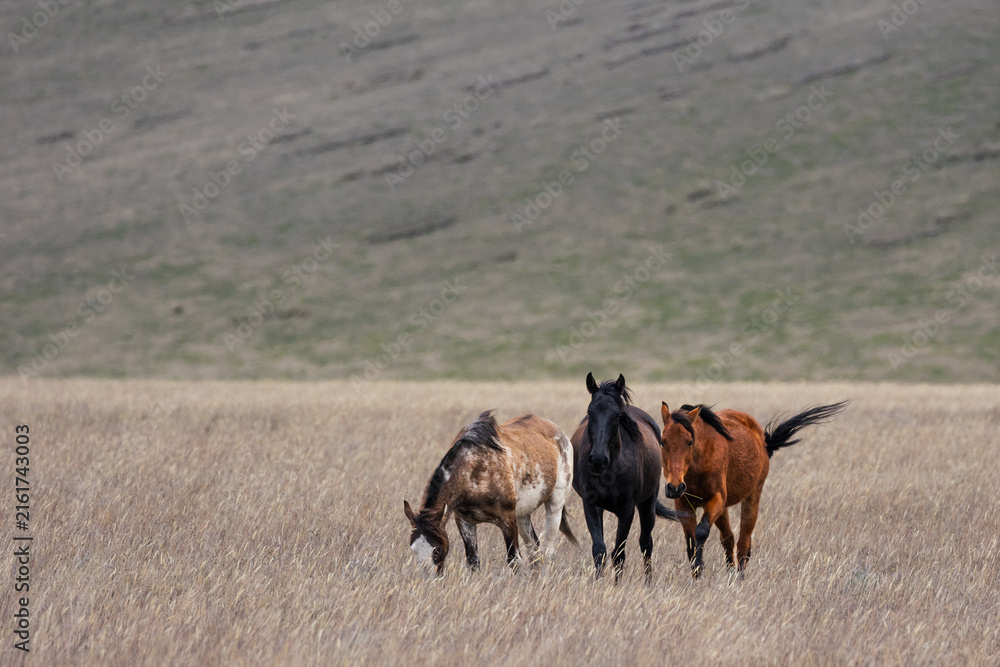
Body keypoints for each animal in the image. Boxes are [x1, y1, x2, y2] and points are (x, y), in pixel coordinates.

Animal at [404, 410, 579, 575]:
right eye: (413, 549)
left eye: (437, 549)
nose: (431, 580)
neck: (474, 468)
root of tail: (559, 433)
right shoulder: (465, 522)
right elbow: (473, 562)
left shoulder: (507, 520)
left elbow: (514, 560)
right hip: (523, 514)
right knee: (534, 549)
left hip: (555, 503)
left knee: (547, 550)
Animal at [571, 373, 683, 583]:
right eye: (590, 412)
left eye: (617, 415)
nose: (598, 460)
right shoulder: (591, 504)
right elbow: (599, 549)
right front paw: (598, 583)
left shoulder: (627, 508)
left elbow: (619, 552)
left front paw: (617, 585)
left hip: (647, 504)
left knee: (646, 543)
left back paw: (648, 582)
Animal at [658, 400, 849, 578]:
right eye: (662, 441)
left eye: (689, 442)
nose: (674, 487)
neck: (699, 463)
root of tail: (762, 438)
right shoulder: (683, 504)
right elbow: (691, 541)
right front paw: (696, 573)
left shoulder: (715, 499)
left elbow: (701, 531)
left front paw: (699, 569)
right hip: (723, 509)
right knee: (728, 539)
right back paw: (730, 574)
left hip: (752, 499)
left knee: (744, 542)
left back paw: (739, 578)